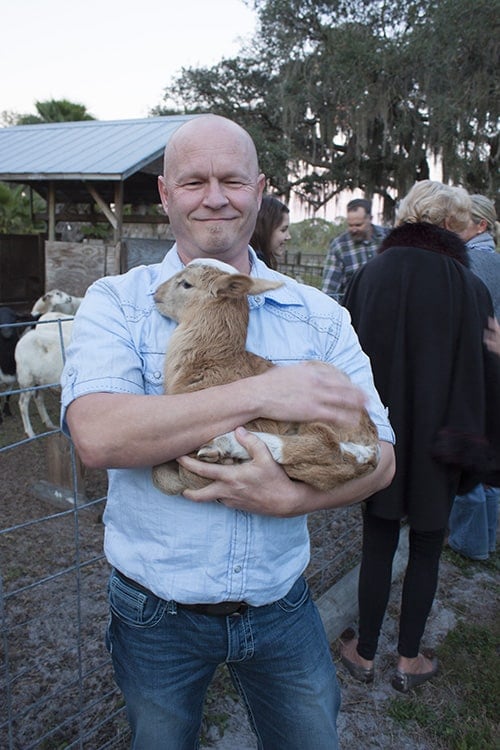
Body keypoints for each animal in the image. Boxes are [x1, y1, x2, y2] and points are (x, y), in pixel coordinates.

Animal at [14, 312, 73, 440]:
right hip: (27, 380)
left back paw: (49, 424)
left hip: (40, 380)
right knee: (22, 404)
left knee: (38, 398)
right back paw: (30, 433)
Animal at [152, 260, 378, 500]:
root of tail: (371, 434)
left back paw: (227, 445)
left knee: (326, 444)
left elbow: (185, 477)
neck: (214, 362)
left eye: (186, 283)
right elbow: (160, 475)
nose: (156, 293)